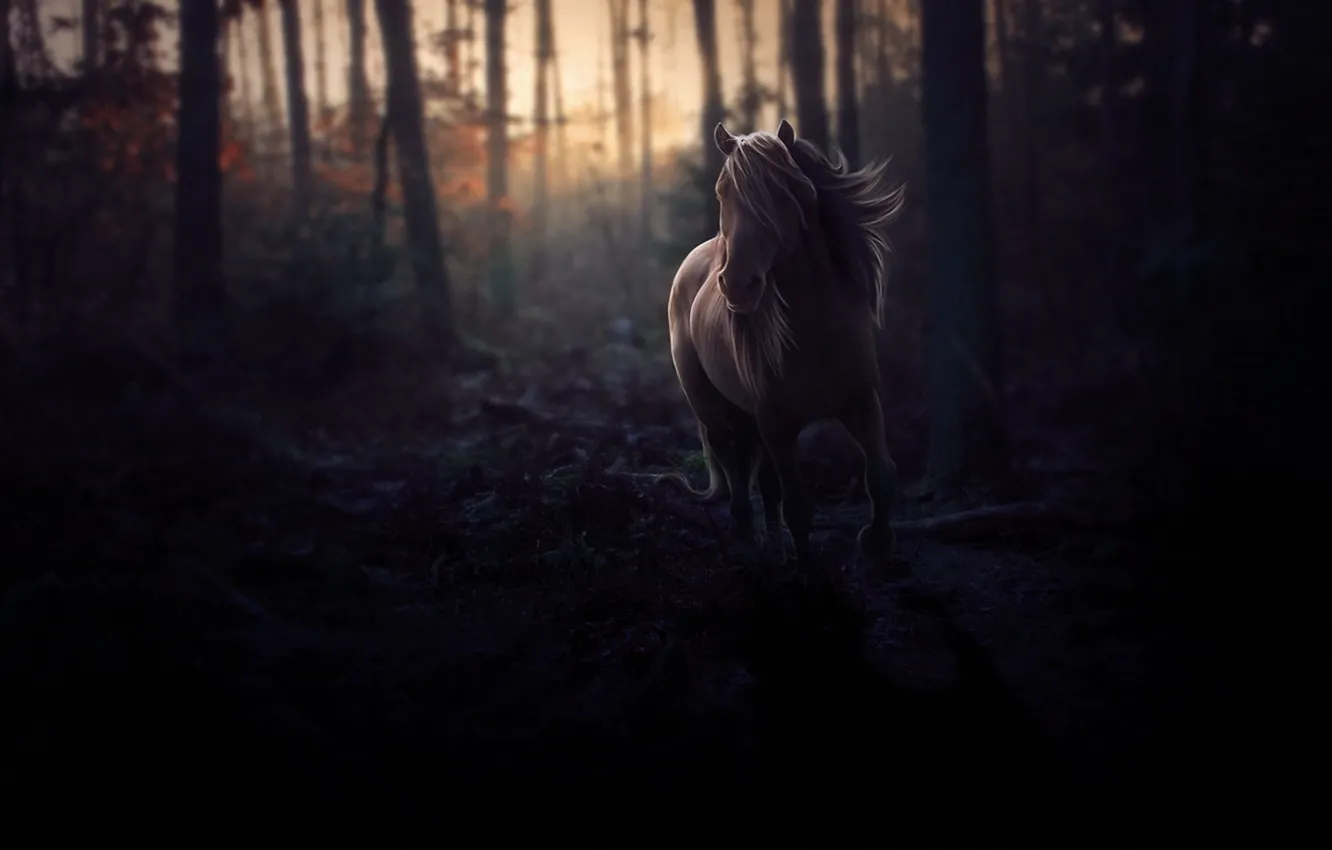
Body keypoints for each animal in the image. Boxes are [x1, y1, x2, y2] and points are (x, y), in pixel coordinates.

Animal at [666, 119, 905, 566]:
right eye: (722, 191)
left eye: (783, 191)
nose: (737, 284)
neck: (816, 329)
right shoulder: (777, 424)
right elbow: (798, 505)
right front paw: (808, 570)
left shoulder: (862, 402)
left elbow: (881, 475)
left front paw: (878, 543)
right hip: (711, 405)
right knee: (732, 466)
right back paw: (746, 538)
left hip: (749, 418)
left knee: (760, 480)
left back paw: (771, 546)